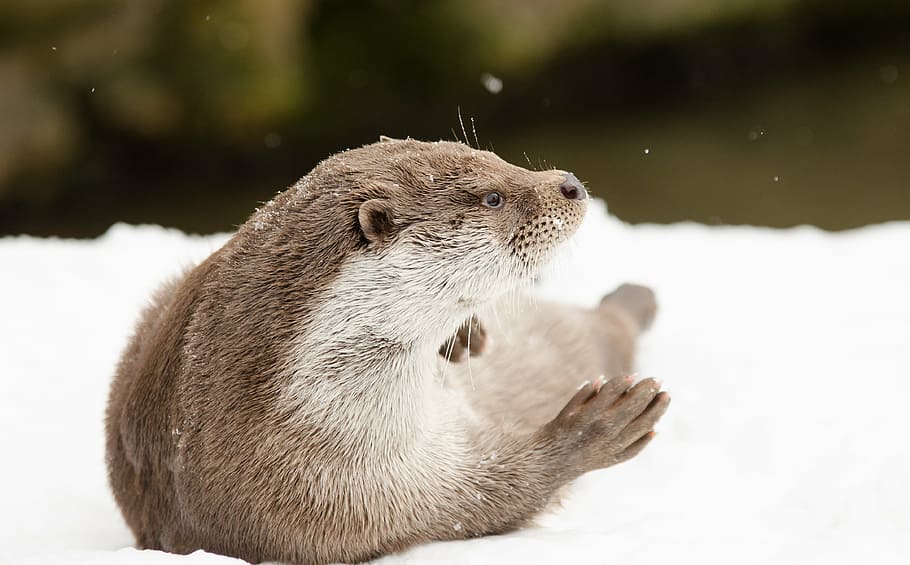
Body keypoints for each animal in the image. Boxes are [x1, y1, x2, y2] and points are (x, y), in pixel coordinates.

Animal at [105, 138, 669, 564]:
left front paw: (466, 337)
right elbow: (489, 500)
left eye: (496, 158)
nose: (570, 183)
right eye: (492, 198)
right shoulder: (347, 501)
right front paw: (596, 427)